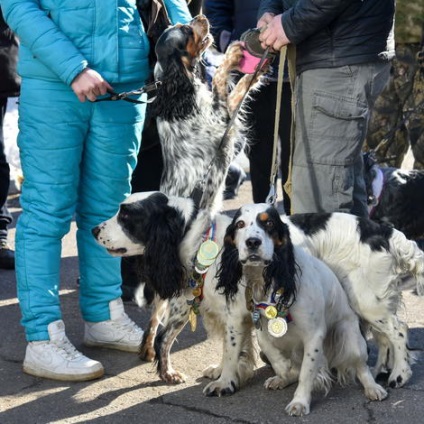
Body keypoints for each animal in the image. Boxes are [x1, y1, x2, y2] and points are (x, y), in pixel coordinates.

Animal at [93, 190, 424, 392]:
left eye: (126, 216)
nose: (95, 230)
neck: (201, 240)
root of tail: (386, 232)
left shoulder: (236, 312)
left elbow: (233, 348)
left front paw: (225, 382)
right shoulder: (232, 311)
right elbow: (231, 348)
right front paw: (223, 372)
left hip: (367, 299)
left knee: (399, 330)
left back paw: (399, 374)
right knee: (383, 336)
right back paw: (380, 369)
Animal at [219, 204, 388, 416]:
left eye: (269, 223)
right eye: (240, 224)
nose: (252, 242)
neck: (268, 279)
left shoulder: (313, 334)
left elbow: (306, 373)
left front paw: (299, 402)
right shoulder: (260, 328)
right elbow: (272, 352)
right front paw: (284, 369)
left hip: (350, 338)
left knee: (361, 365)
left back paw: (373, 387)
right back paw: (281, 378)